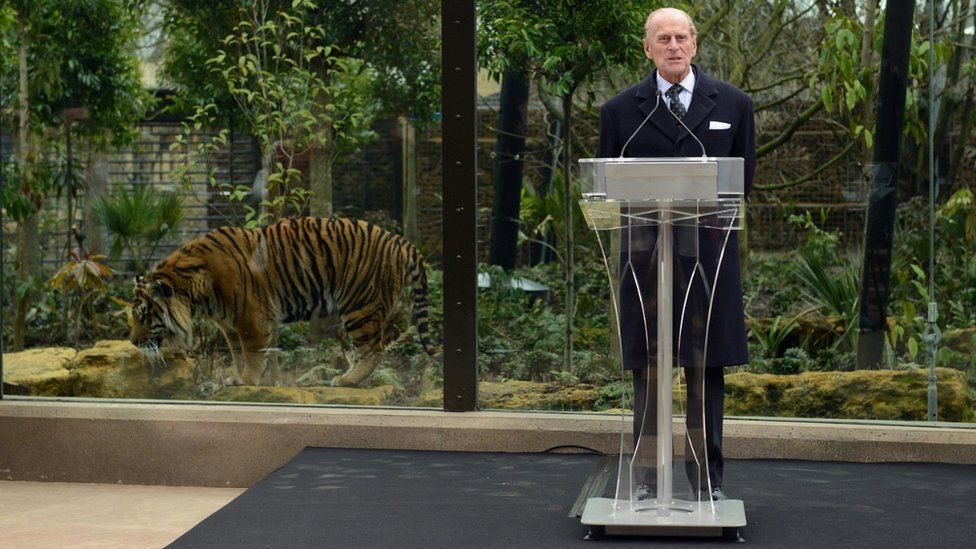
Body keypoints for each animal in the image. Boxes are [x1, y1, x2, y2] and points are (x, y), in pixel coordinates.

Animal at [129, 216, 434, 388]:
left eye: (144, 316)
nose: (132, 341)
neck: (196, 293)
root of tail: (398, 239)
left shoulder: (250, 318)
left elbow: (252, 352)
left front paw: (246, 380)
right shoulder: (232, 325)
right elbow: (245, 353)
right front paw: (252, 379)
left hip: (361, 305)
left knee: (373, 349)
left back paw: (347, 380)